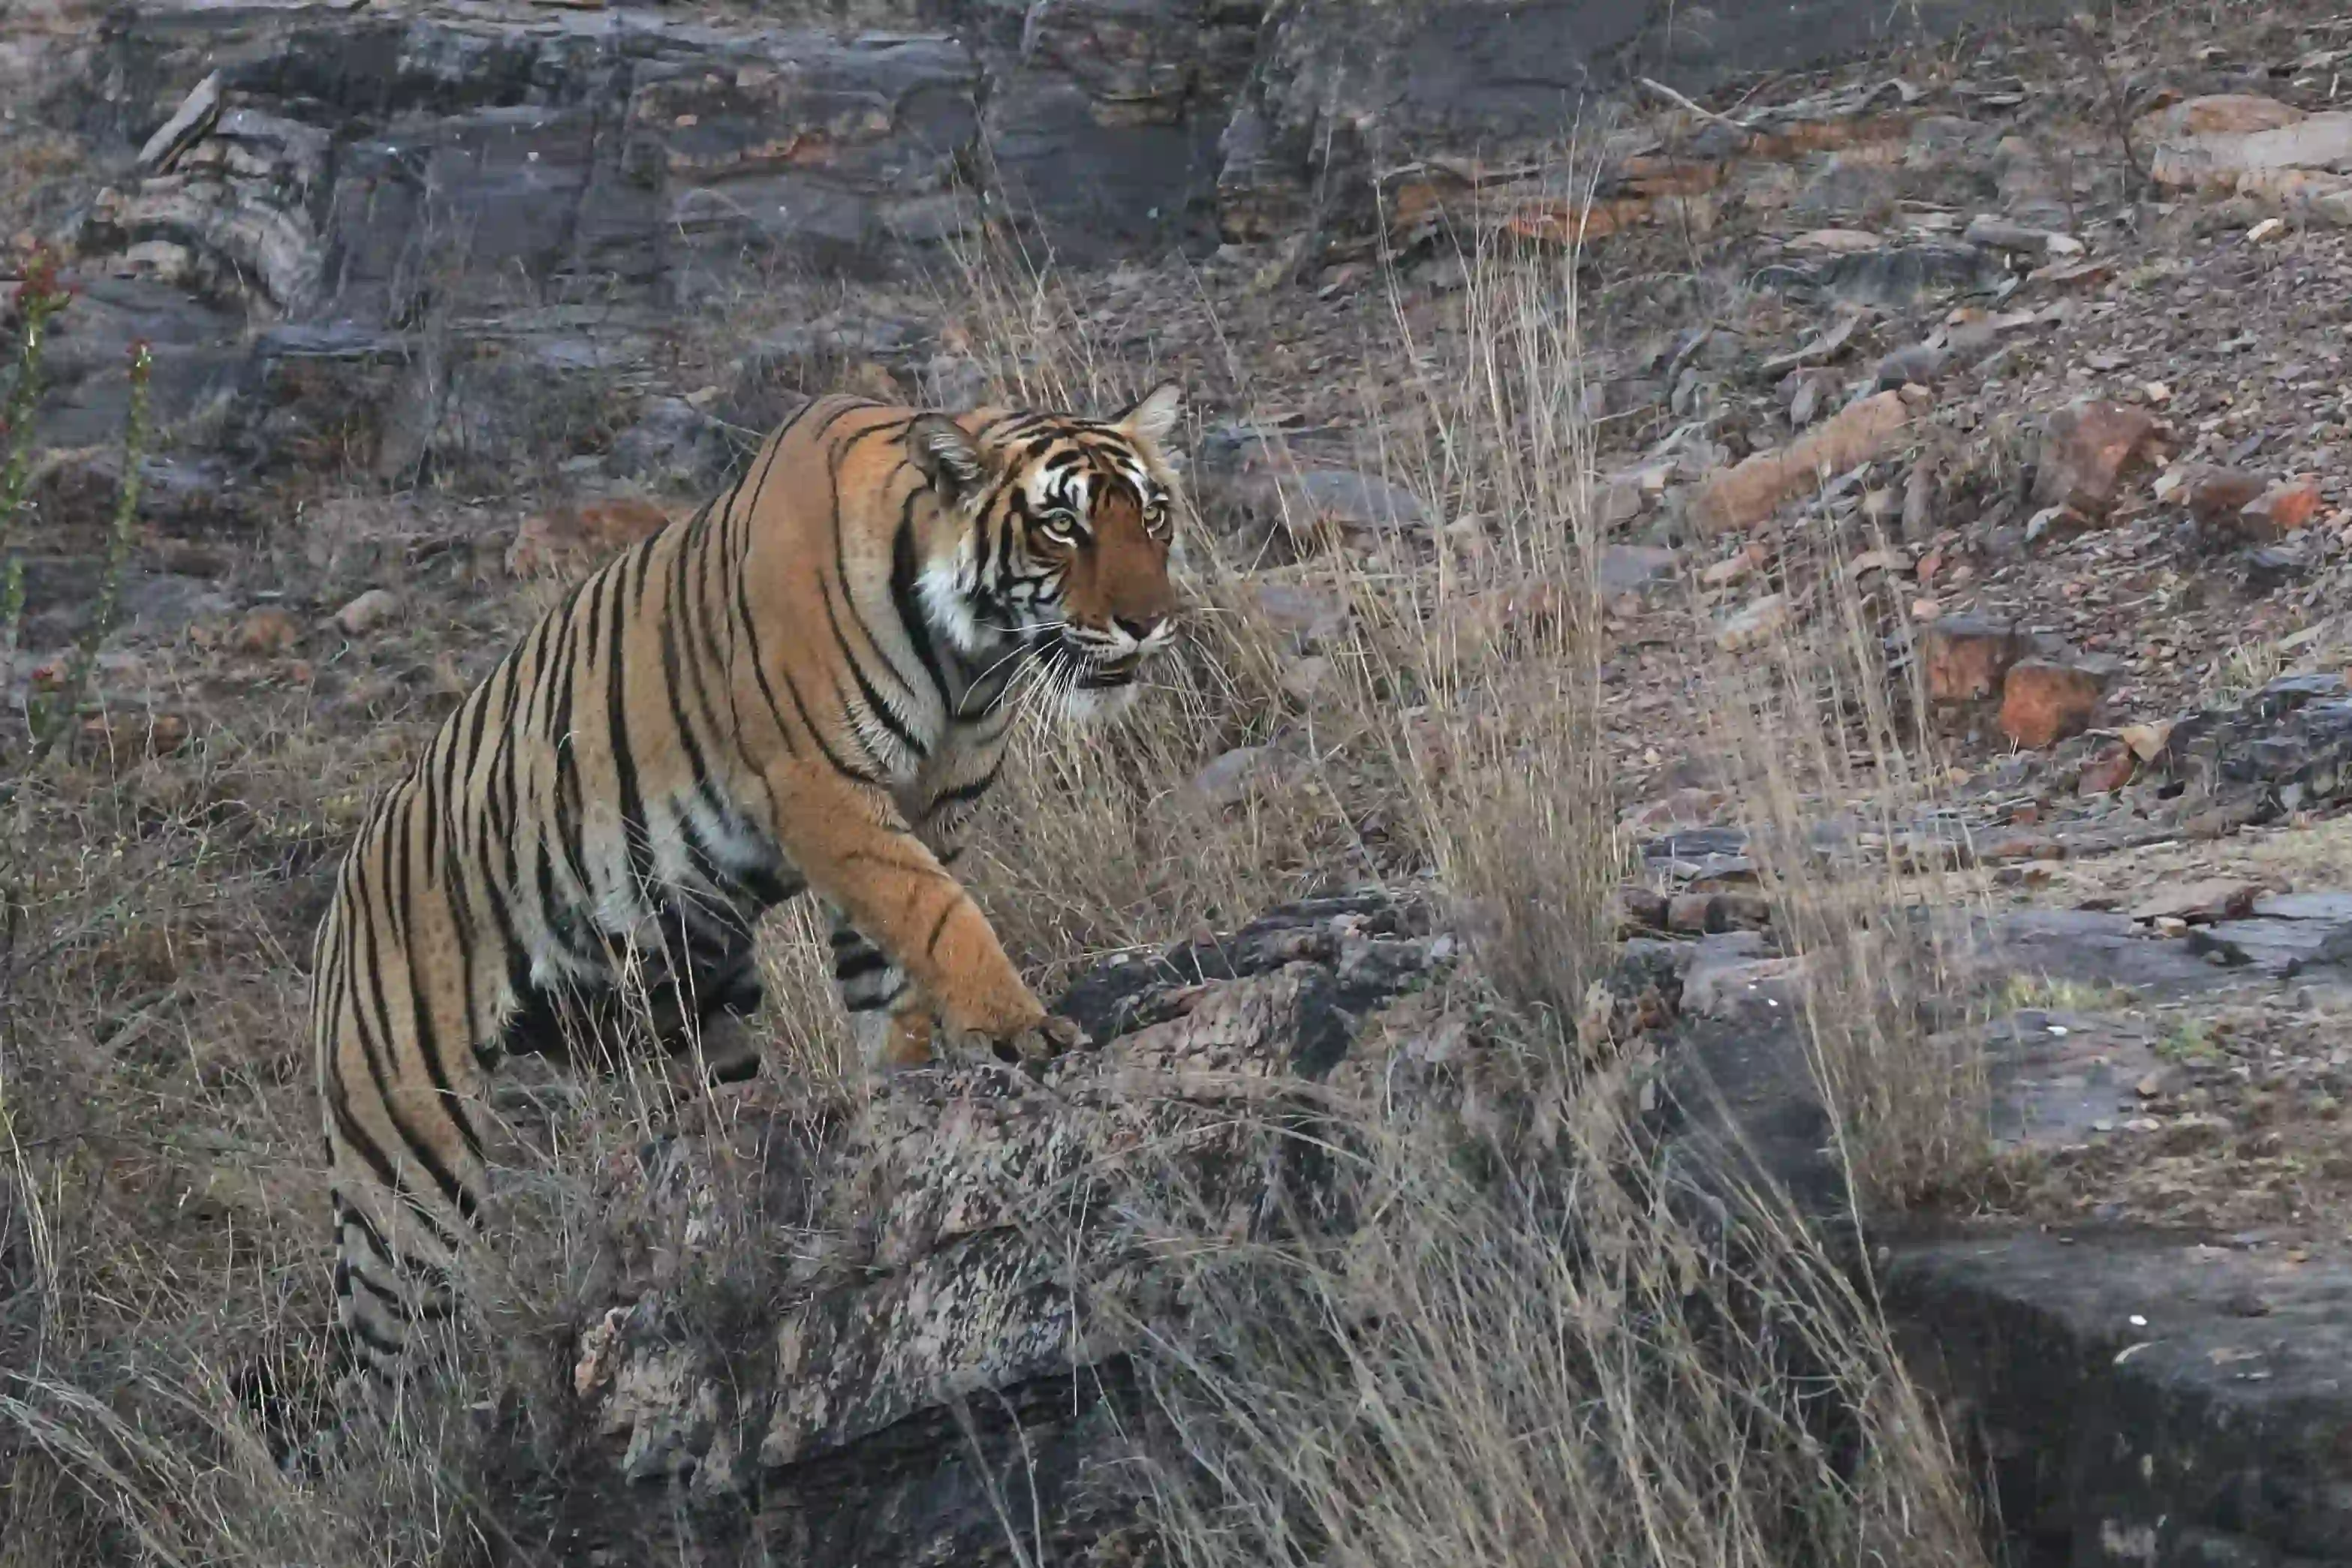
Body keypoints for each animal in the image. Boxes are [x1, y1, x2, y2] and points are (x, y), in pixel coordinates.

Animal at [310, 385, 1185, 1392]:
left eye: (1152, 516)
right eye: (1061, 525)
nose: (1149, 620)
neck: (968, 663)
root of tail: (335, 907)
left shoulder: (926, 813)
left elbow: (895, 971)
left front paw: (905, 1085)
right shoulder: (824, 792)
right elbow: (939, 916)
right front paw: (1018, 1026)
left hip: (682, 1013)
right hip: (409, 1179)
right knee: (393, 1365)